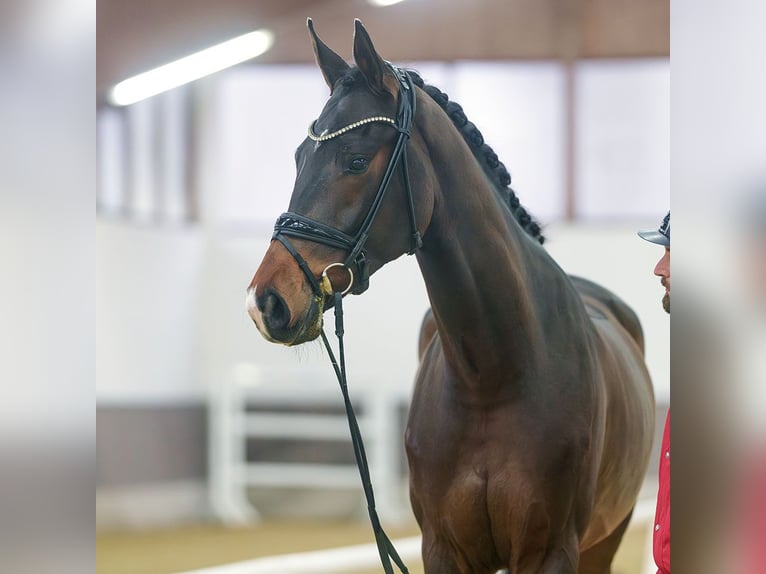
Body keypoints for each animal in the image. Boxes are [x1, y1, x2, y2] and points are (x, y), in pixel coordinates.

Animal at [246, 19, 656, 574]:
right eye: (298, 158)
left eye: (356, 160)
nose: (266, 301)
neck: (493, 377)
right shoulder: (443, 548)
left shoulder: (550, 551)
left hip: (602, 543)